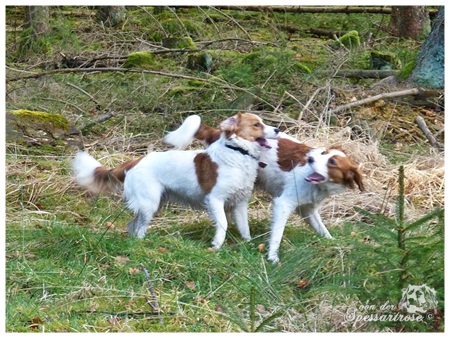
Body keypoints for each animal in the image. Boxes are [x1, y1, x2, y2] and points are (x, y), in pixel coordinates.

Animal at [72, 113, 278, 248]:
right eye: (257, 125)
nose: (278, 128)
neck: (238, 152)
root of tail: (134, 162)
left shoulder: (240, 203)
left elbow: (244, 227)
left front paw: (247, 244)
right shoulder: (215, 200)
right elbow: (223, 224)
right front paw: (217, 245)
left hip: (154, 204)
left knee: (132, 225)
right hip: (150, 204)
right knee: (139, 228)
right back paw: (141, 243)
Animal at [163, 115, 364, 262]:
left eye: (332, 162)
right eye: (323, 153)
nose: (310, 159)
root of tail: (218, 132)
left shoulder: (309, 210)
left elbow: (323, 230)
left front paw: (333, 243)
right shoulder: (283, 203)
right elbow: (277, 234)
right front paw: (272, 257)